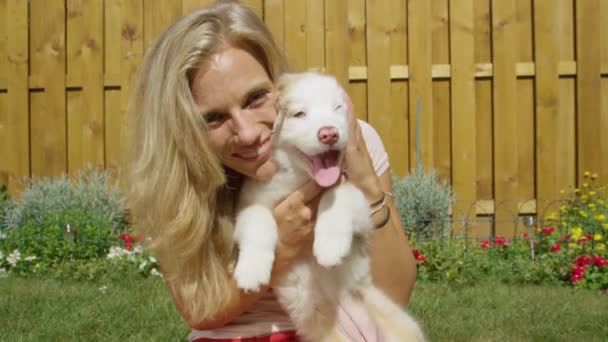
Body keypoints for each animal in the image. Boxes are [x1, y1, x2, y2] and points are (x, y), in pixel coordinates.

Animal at [233, 73, 428, 342]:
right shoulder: (251, 202)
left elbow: (335, 196)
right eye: (299, 114)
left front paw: (329, 248)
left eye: (337, 108)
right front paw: (251, 271)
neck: (300, 178)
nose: (329, 134)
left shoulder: (358, 199)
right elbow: (258, 219)